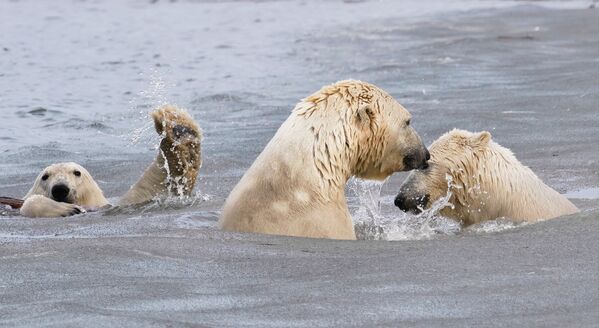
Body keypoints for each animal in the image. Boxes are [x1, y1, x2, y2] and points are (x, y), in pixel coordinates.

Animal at [18, 105, 203, 218]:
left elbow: (152, 188)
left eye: (77, 172)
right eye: (45, 176)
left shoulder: (109, 206)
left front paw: (179, 130)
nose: (60, 189)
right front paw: (66, 209)